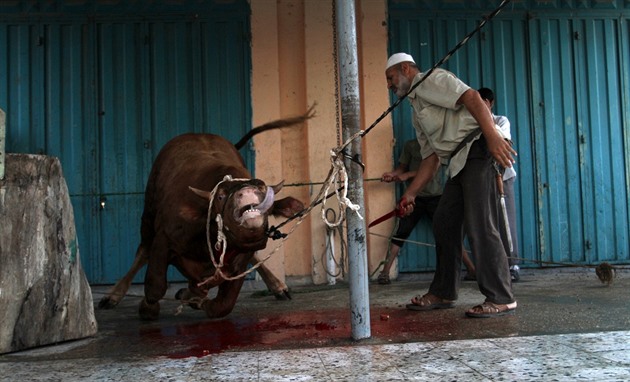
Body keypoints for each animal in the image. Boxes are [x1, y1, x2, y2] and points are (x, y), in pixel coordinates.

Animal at [99, 111, 314, 320]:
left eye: (262, 189)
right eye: (220, 196)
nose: (247, 191)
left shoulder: (238, 264)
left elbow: (222, 305)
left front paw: (195, 299)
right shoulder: (163, 239)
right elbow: (155, 286)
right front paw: (148, 308)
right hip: (148, 213)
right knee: (143, 251)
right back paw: (113, 296)